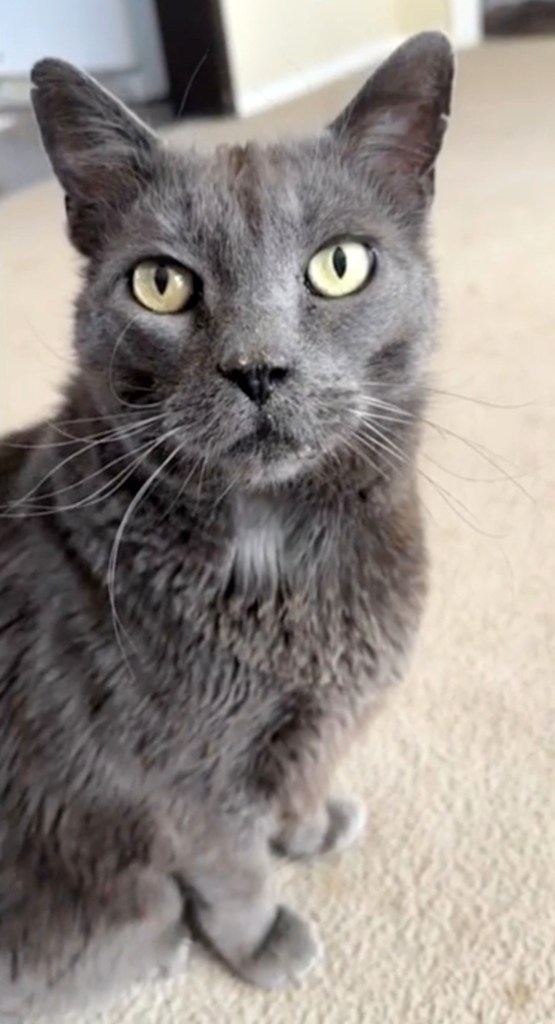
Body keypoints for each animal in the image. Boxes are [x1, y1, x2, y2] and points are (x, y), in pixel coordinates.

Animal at [0, 29, 452, 1015]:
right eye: (160, 284)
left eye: (339, 264)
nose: (257, 367)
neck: (285, 561)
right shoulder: (180, 774)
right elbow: (231, 865)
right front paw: (261, 942)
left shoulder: (324, 714)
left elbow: (308, 767)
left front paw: (309, 822)